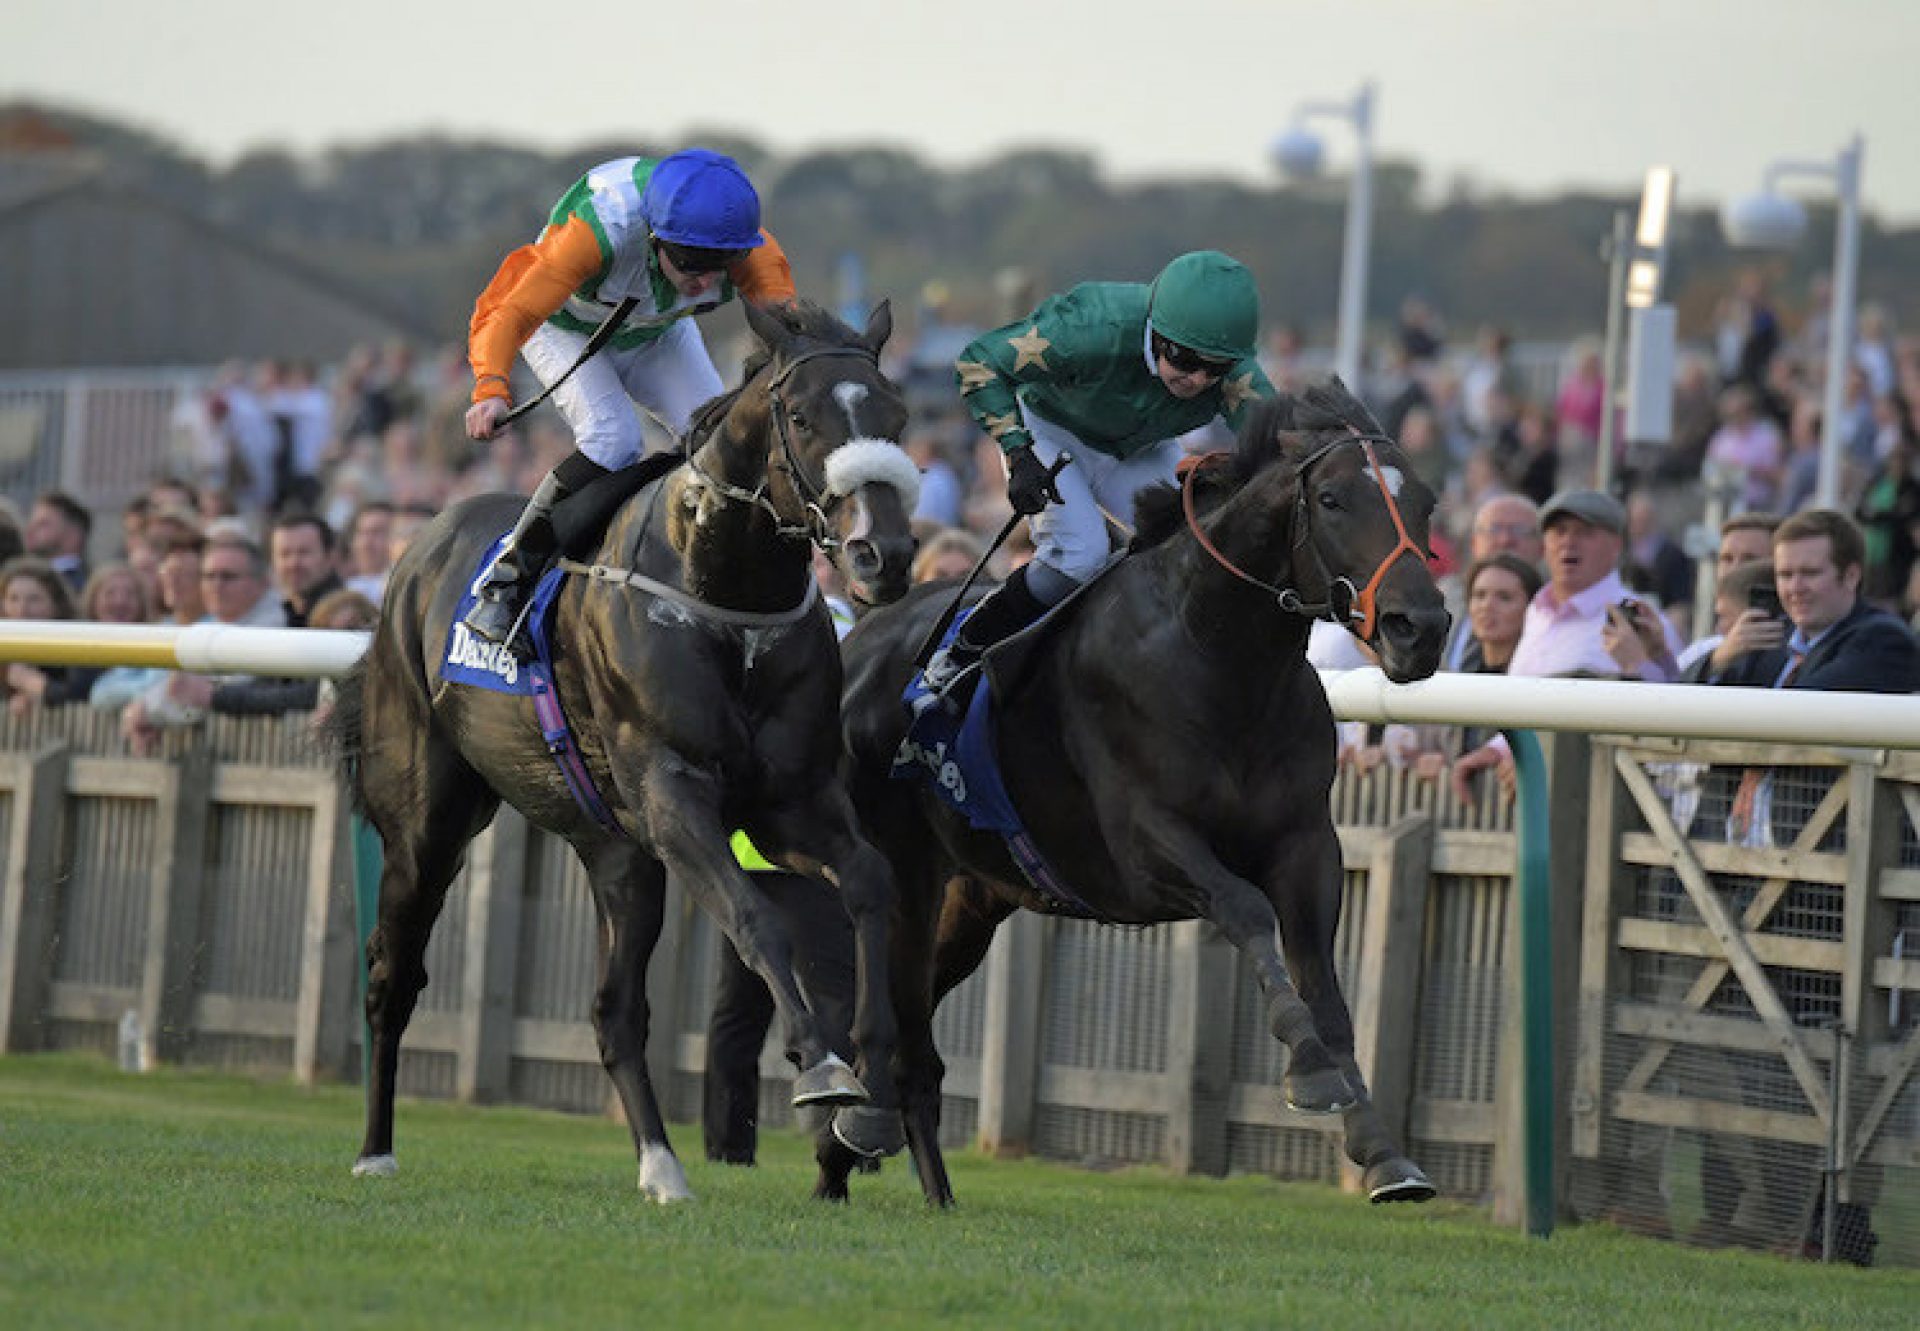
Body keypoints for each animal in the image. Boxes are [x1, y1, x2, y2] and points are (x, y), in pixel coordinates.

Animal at [332, 301, 921, 1206]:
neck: (722, 592)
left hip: (618, 854)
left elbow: (868, 881)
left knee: (614, 1014)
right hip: (428, 822)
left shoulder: (790, 801)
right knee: (392, 975)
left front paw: (873, 1103)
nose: (880, 555)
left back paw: (662, 1165)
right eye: (800, 417)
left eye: (897, 415)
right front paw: (822, 1067)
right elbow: (756, 918)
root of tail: (418, 545)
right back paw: (375, 1150)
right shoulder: (674, 795)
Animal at [848, 382, 1443, 1206]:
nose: (1421, 627)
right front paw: (1313, 1071)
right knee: (883, 1013)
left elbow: (1323, 982)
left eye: (1425, 501)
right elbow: (1247, 912)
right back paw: (859, 1126)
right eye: (1330, 498)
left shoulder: (1306, 843)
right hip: (900, 874)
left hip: (969, 900)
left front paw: (1382, 1149)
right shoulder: (1144, 843)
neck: (1218, 657)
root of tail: (856, 640)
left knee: (910, 1036)